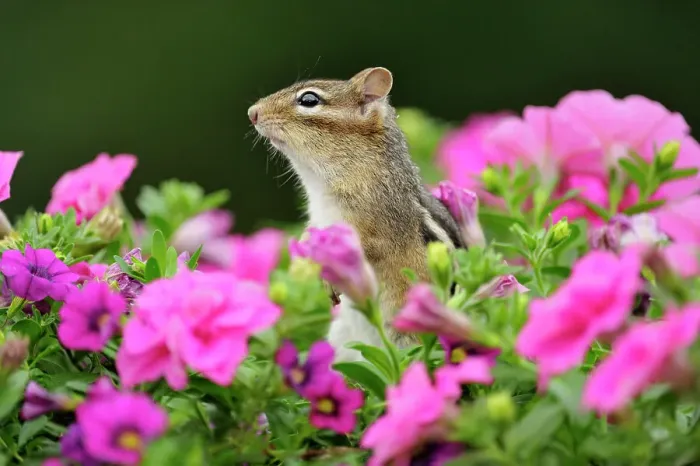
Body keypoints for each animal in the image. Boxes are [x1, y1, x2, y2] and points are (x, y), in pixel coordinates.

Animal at [248, 67, 465, 362]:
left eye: (308, 100)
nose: (252, 112)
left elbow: (364, 247)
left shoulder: (377, 225)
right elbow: (308, 235)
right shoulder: (318, 218)